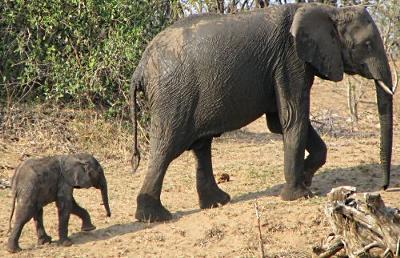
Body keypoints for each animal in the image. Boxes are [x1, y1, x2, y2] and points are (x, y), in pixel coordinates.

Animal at [130, 3, 394, 222]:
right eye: (367, 45)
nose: (383, 188)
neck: (329, 10)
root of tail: (140, 68)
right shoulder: (290, 60)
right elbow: (292, 118)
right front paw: (298, 195)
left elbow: (282, 122)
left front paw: (306, 180)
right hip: (173, 96)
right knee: (166, 148)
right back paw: (155, 217)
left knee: (201, 146)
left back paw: (217, 202)